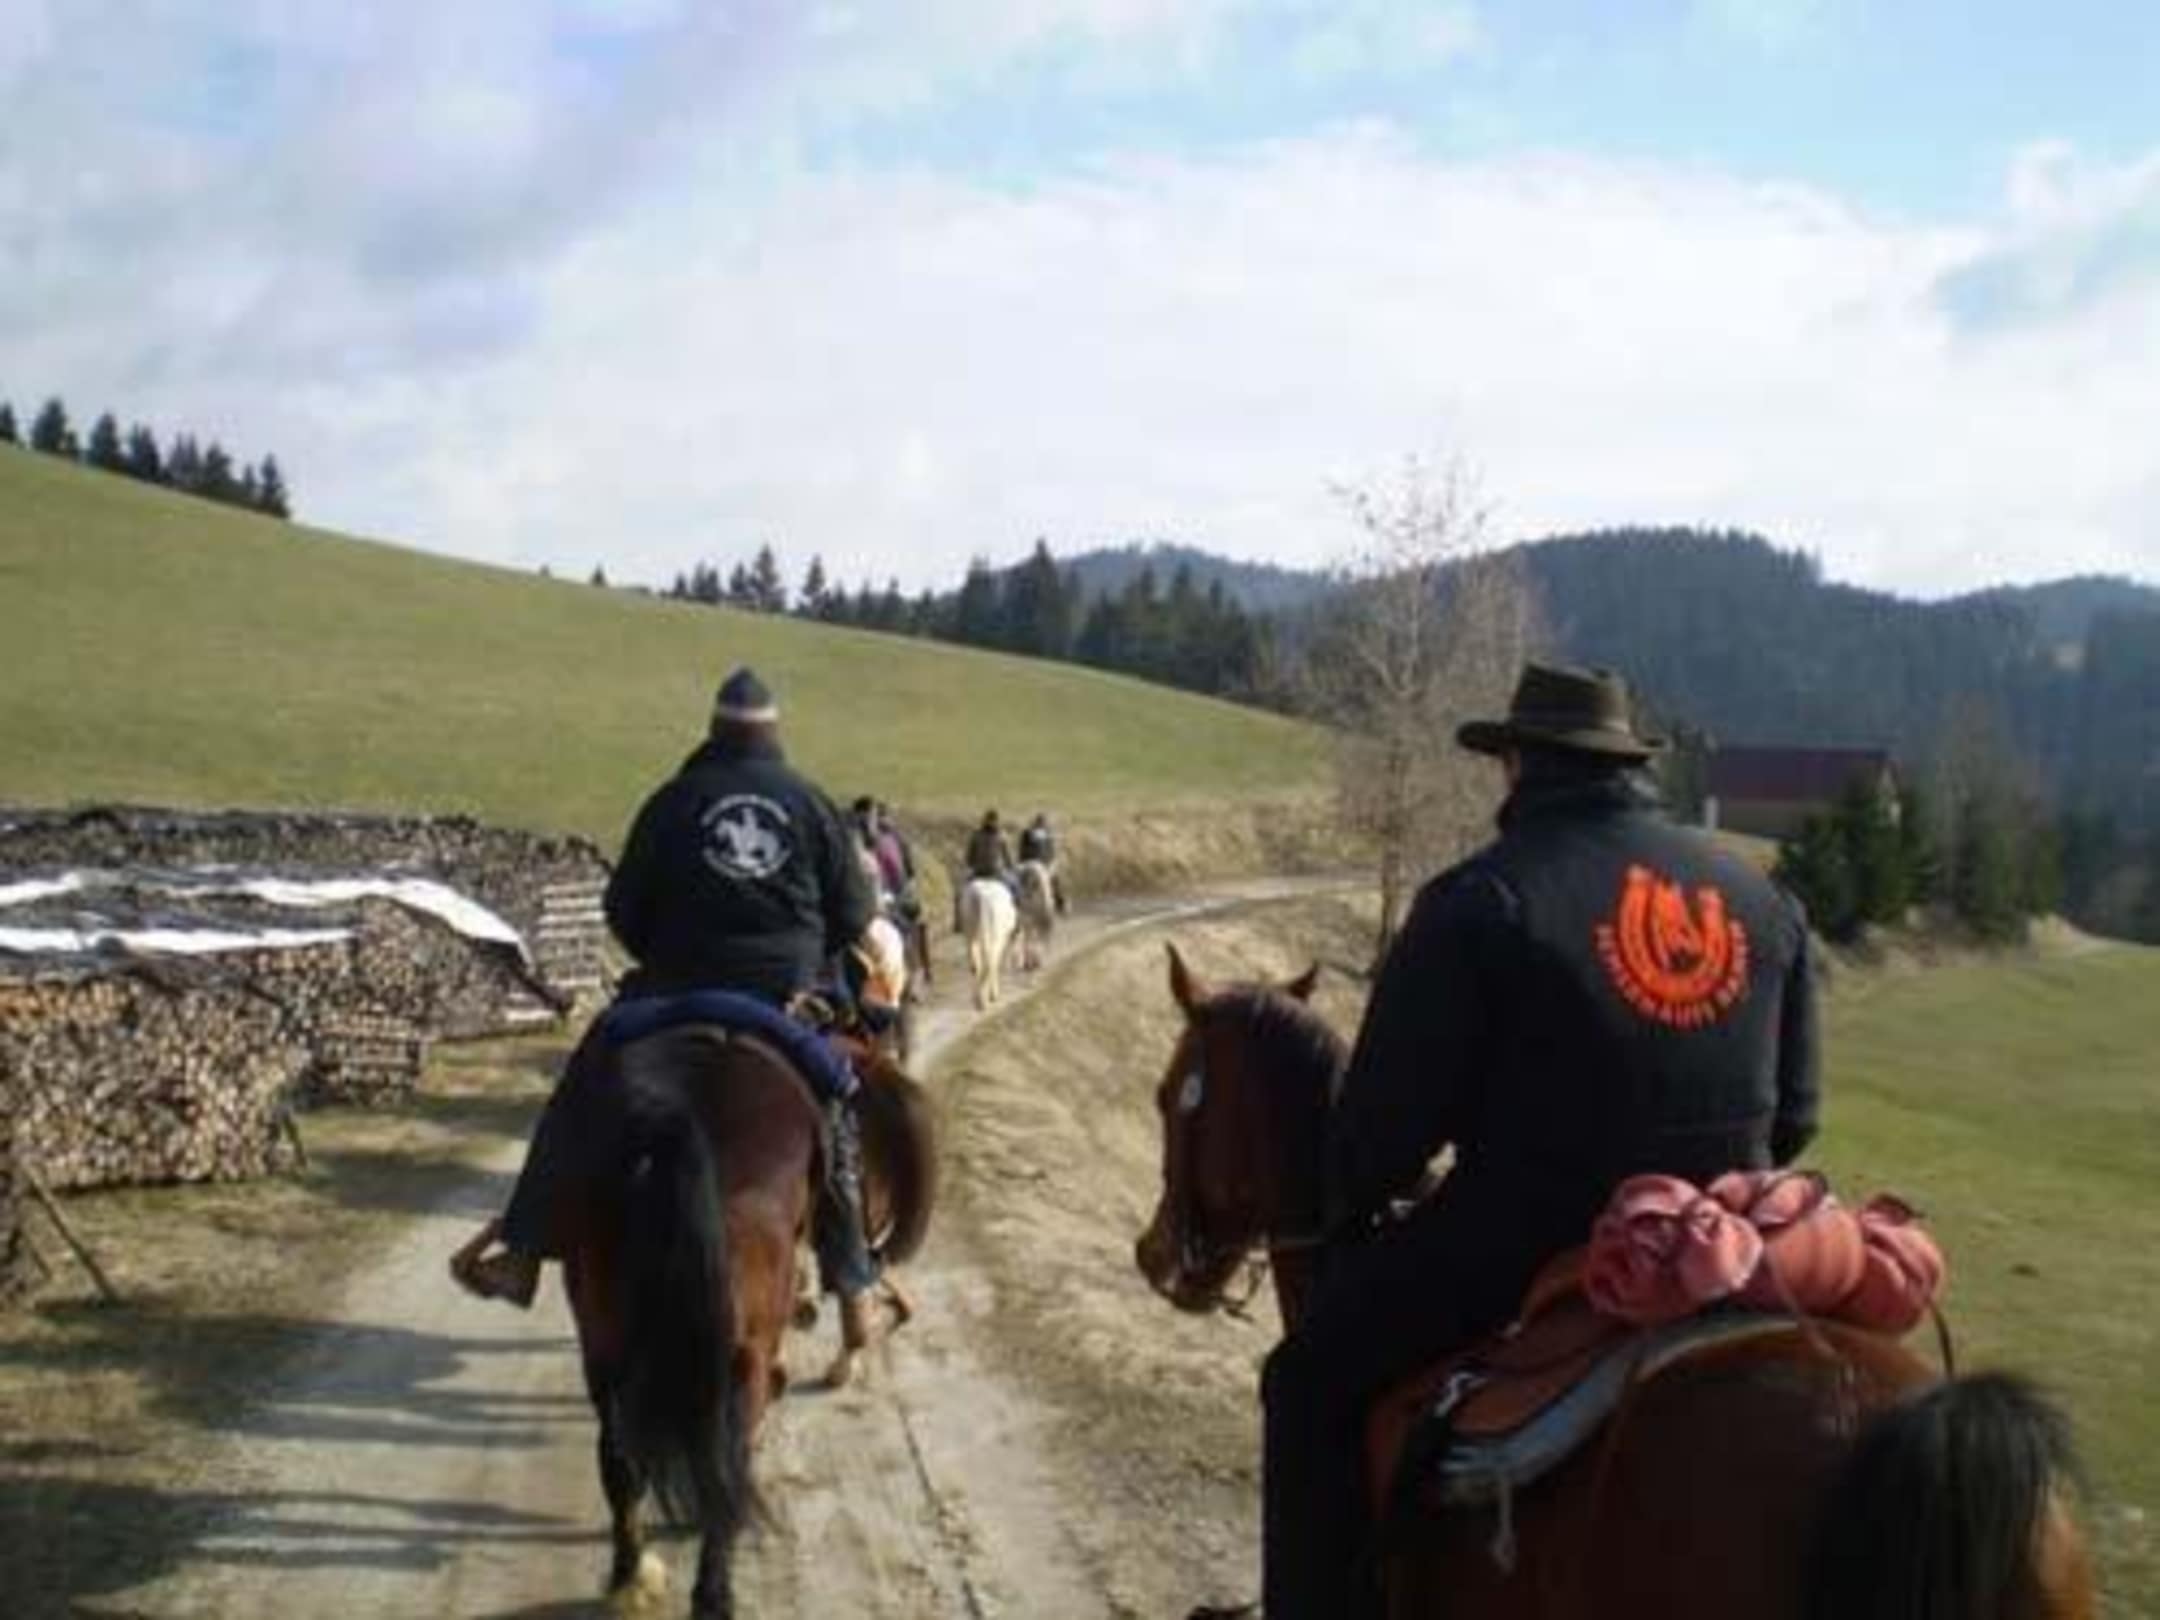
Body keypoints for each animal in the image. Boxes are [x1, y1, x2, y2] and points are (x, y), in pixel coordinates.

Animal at [959, 877, 1017, 1009]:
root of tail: (981, 894)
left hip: (970, 928)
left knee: (976, 963)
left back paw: (978, 998)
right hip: (993, 934)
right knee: (989, 961)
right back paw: (986, 999)